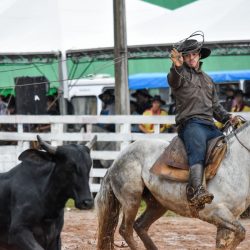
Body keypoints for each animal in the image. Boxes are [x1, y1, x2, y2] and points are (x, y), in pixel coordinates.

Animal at [95, 120, 250, 248]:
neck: (234, 162)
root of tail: (116, 160)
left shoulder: (230, 218)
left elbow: (227, 242)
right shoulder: (214, 211)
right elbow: (241, 233)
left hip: (158, 204)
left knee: (140, 225)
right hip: (131, 200)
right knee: (126, 230)